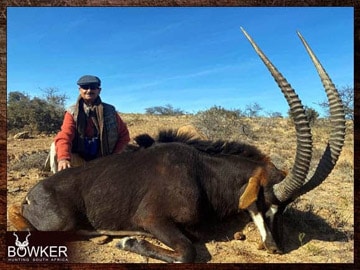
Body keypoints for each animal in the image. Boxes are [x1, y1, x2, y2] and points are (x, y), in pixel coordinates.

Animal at [8, 28, 346, 262]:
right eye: (264, 202)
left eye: (284, 209)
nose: (276, 248)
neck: (203, 173)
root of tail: (32, 193)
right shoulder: (153, 220)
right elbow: (187, 252)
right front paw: (128, 241)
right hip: (62, 222)